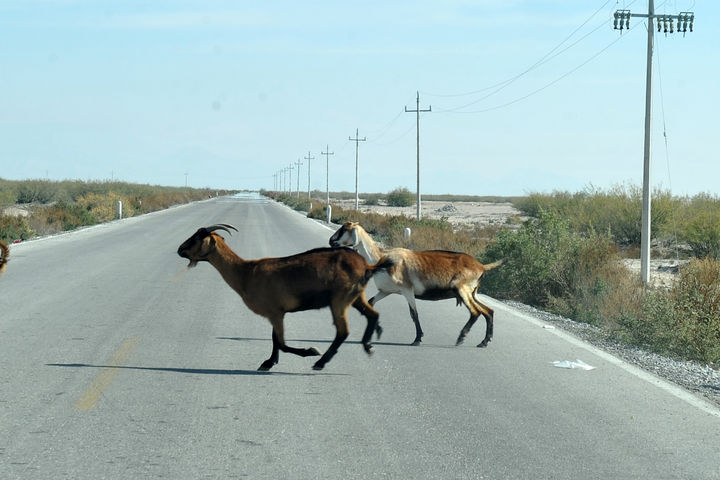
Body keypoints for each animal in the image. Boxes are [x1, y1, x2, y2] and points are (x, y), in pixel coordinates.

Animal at [177, 224, 394, 371]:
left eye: (196, 238)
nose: (180, 250)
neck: (246, 273)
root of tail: (366, 265)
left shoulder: (275, 312)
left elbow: (280, 342)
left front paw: (310, 351)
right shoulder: (276, 313)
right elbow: (275, 339)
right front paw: (268, 362)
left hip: (340, 300)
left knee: (343, 331)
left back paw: (320, 361)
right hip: (356, 296)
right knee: (372, 315)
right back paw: (368, 346)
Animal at [329, 222, 503, 347]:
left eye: (344, 228)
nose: (331, 241)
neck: (382, 258)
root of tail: (481, 266)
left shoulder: (407, 290)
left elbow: (414, 314)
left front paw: (417, 339)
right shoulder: (385, 291)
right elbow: (371, 303)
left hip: (461, 289)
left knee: (475, 312)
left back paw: (461, 338)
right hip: (472, 293)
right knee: (488, 311)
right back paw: (484, 342)